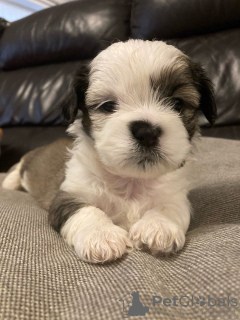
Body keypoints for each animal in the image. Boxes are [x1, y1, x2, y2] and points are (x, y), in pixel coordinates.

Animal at [1, 40, 217, 264]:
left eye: (177, 104)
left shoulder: (175, 194)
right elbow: (86, 210)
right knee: (18, 168)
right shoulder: (69, 194)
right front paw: (101, 234)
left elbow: (170, 206)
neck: (131, 181)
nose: (146, 132)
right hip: (28, 163)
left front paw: (159, 225)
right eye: (108, 106)